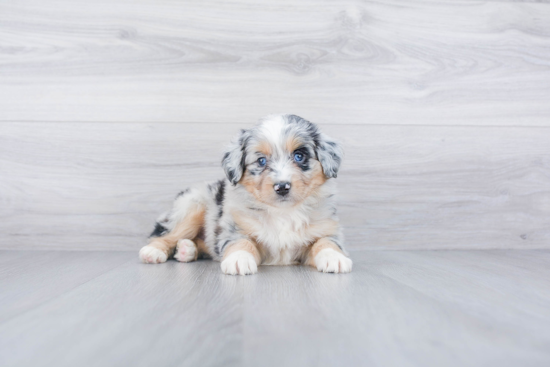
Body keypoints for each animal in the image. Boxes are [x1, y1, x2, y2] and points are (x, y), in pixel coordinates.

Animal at [138, 115, 354, 276]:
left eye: (299, 156)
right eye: (261, 161)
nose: (282, 187)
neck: (283, 212)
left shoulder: (325, 229)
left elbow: (326, 242)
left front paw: (334, 257)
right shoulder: (234, 228)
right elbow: (241, 242)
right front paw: (238, 259)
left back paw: (186, 250)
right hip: (192, 207)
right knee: (166, 234)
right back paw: (154, 251)